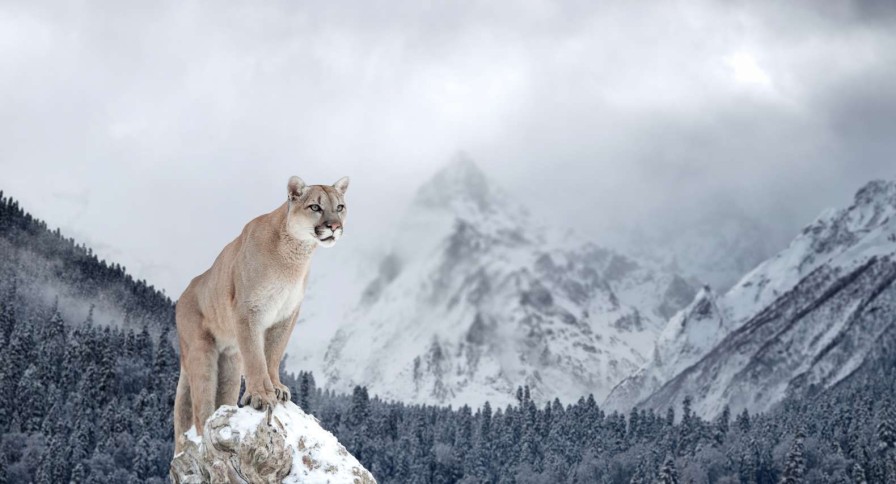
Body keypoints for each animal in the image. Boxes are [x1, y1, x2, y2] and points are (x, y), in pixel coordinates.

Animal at [173, 175, 348, 454]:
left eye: (339, 207)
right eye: (315, 207)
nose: (334, 226)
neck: (294, 256)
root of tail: (183, 294)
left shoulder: (287, 315)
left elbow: (273, 353)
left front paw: (276, 388)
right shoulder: (248, 310)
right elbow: (256, 356)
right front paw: (261, 396)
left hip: (230, 362)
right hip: (202, 352)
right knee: (200, 410)